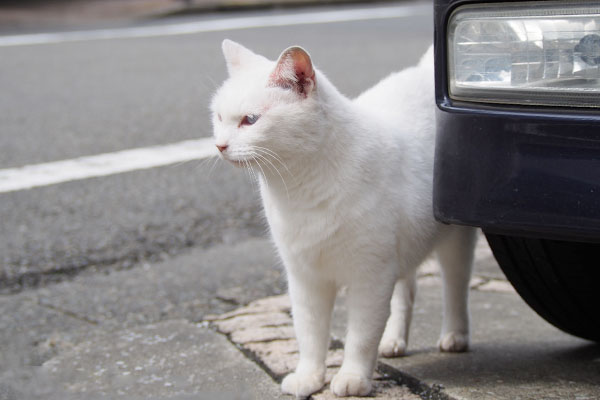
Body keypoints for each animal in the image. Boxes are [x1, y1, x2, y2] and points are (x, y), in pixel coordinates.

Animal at [211, 40, 478, 396]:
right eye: (218, 116)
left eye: (249, 120)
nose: (219, 145)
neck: (299, 190)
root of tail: (423, 73)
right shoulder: (305, 279)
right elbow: (309, 335)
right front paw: (309, 378)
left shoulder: (370, 278)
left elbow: (361, 337)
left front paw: (353, 378)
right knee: (407, 291)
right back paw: (394, 341)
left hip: (455, 242)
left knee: (455, 288)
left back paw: (455, 336)